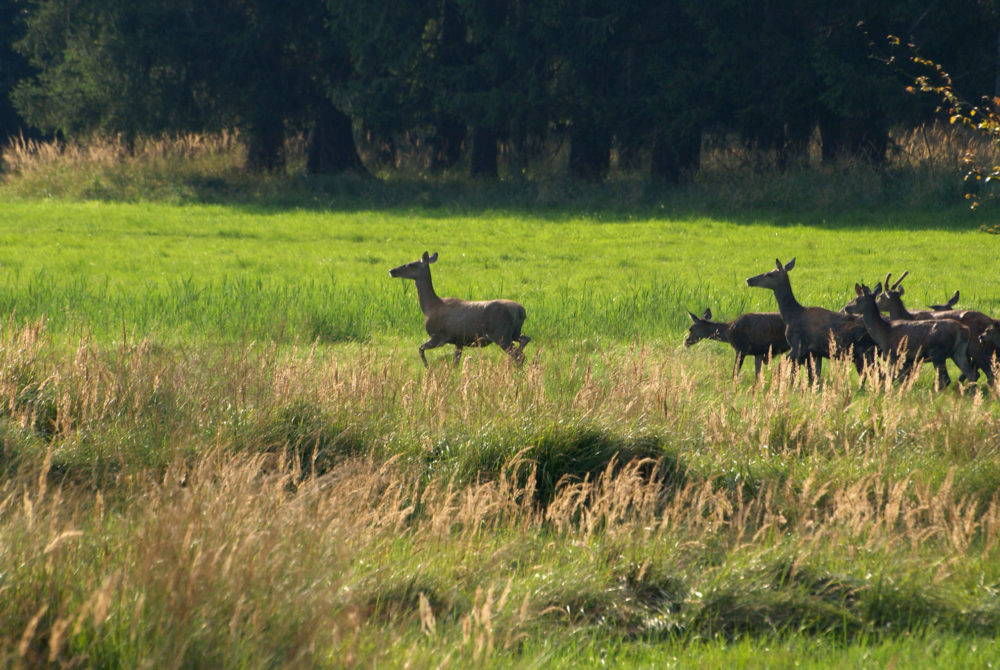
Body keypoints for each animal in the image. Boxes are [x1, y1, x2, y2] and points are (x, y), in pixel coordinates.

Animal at [388, 252, 532, 368]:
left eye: (411, 264)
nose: (391, 270)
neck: (430, 307)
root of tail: (521, 310)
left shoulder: (438, 336)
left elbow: (420, 349)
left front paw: (428, 368)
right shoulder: (458, 340)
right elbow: (455, 364)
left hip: (501, 334)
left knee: (519, 355)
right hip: (513, 332)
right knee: (525, 339)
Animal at [744, 258, 876, 380]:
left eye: (769, 274)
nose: (749, 280)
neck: (790, 316)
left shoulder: (797, 345)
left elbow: (783, 366)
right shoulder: (812, 351)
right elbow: (812, 373)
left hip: (865, 350)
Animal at [844, 282, 976, 388]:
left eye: (857, 299)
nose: (846, 308)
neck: (883, 332)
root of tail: (963, 330)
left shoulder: (894, 353)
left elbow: (894, 378)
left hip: (938, 352)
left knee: (945, 379)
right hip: (958, 352)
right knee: (971, 375)